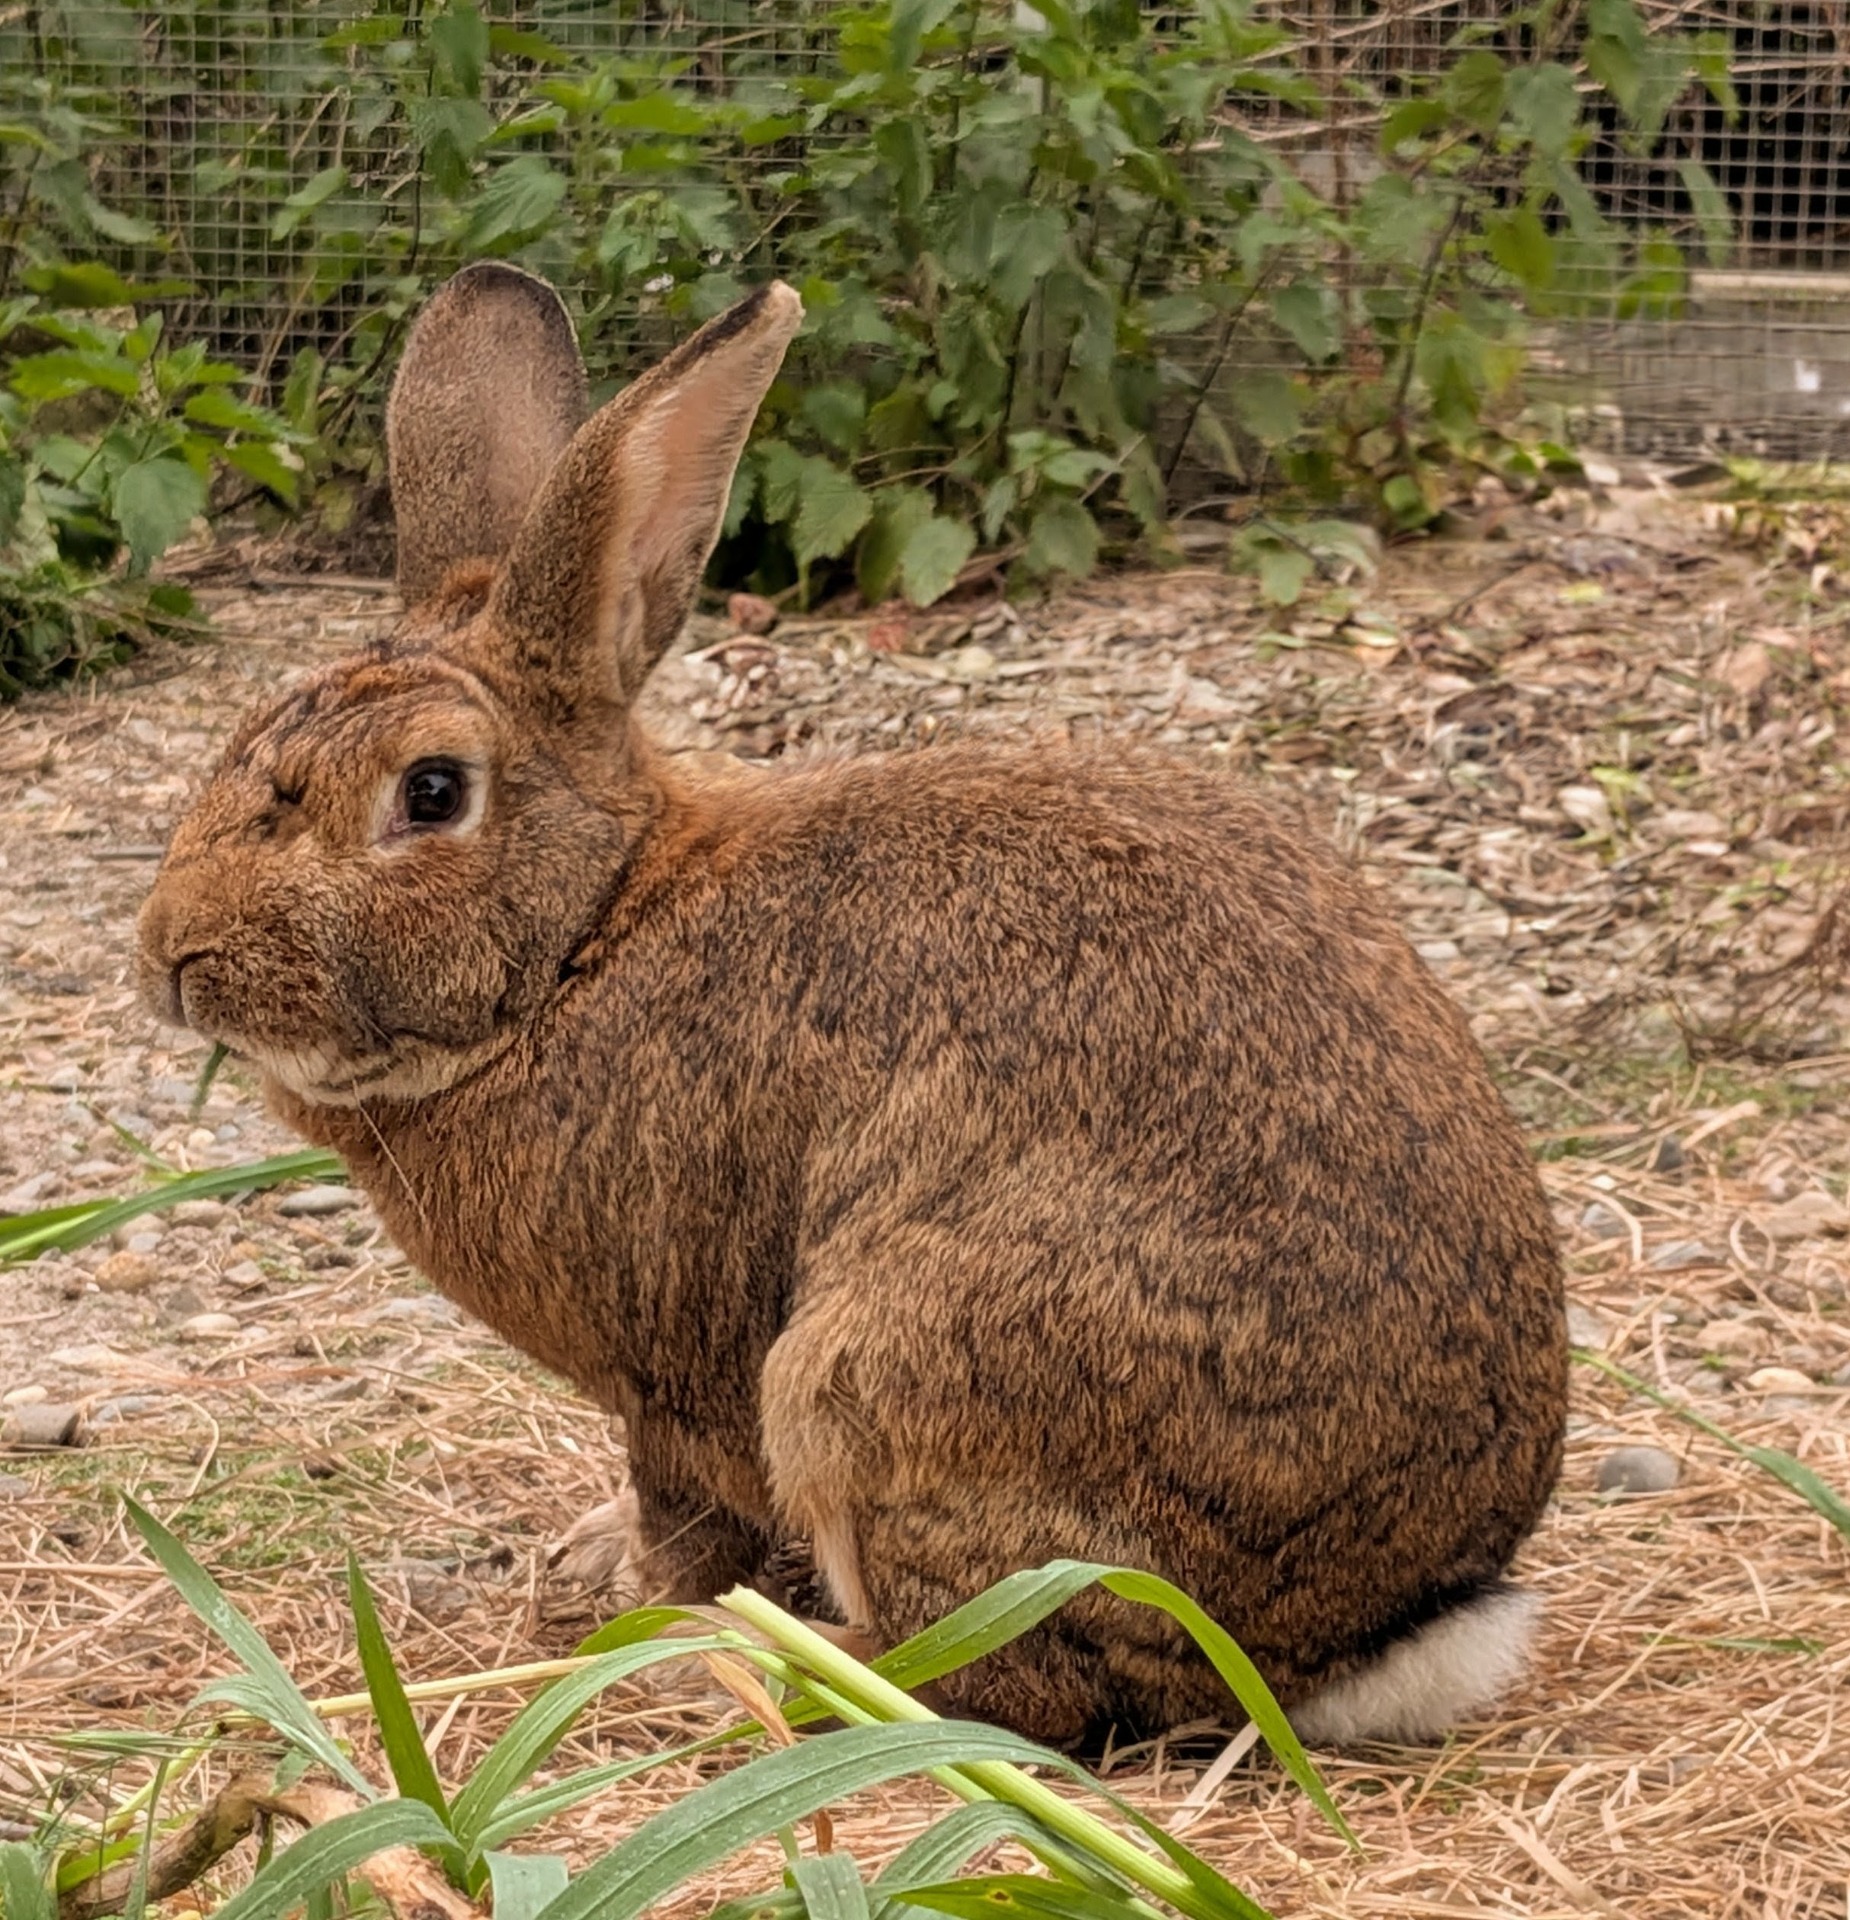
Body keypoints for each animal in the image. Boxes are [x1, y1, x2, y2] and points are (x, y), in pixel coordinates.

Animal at [138, 262, 1567, 1749]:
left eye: (429, 793)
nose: (174, 954)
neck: (590, 933)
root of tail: (1383, 1627)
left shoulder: (677, 1376)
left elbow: (689, 1514)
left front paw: (634, 1603)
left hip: (870, 1379)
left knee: (1016, 1676)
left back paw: (755, 1674)